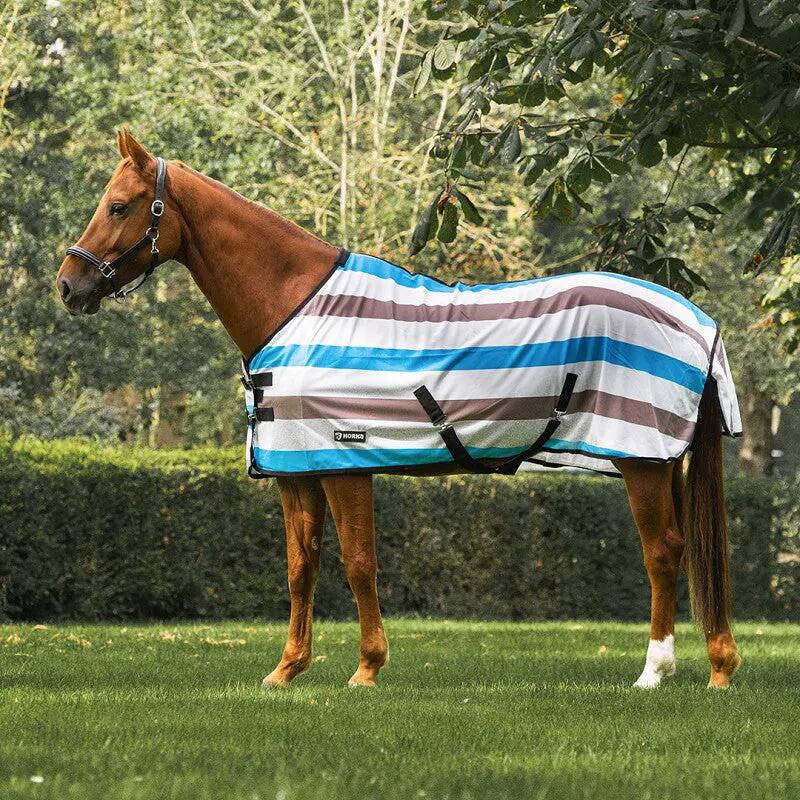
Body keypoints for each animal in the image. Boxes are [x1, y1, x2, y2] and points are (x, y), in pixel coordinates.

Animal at [56, 131, 742, 689]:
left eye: (119, 206)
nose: (68, 285)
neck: (292, 304)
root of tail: (697, 319)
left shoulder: (345, 463)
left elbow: (360, 565)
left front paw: (366, 669)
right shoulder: (296, 472)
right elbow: (300, 568)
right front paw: (287, 670)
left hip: (642, 459)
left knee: (663, 553)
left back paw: (655, 672)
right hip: (661, 463)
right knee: (686, 552)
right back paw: (718, 667)